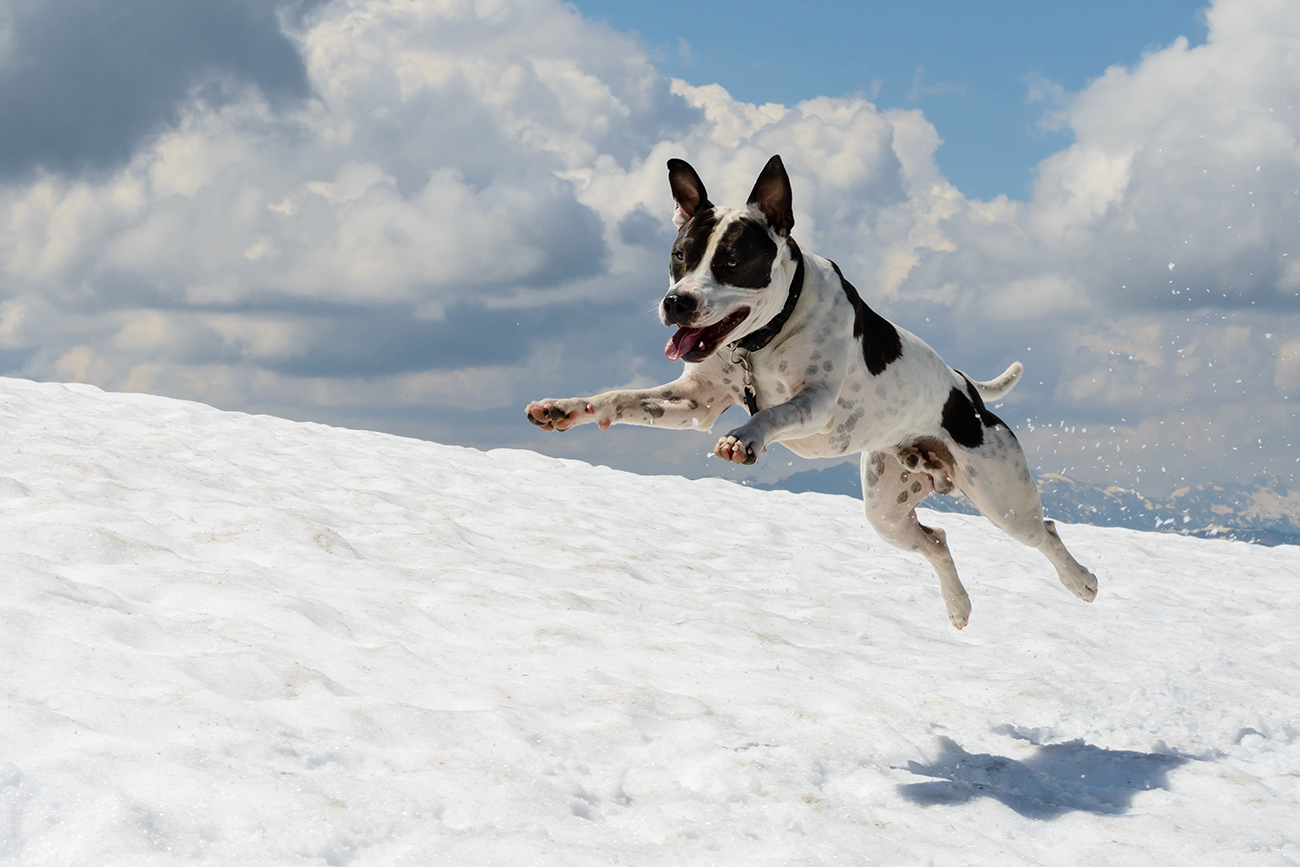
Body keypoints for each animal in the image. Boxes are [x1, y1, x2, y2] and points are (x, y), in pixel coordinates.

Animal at [527, 157, 1097, 631]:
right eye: (679, 256)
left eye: (731, 261)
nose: (676, 302)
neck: (762, 337)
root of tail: (967, 391)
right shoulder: (695, 402)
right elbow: (619, 398)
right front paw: (563, 407)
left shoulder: (816, 403)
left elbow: (773, 414)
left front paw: (744, 438)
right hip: (888, 511)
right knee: (936, 540)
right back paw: (959, 608)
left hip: (1002, 497)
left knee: (1044, 529)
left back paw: (1082, 581)